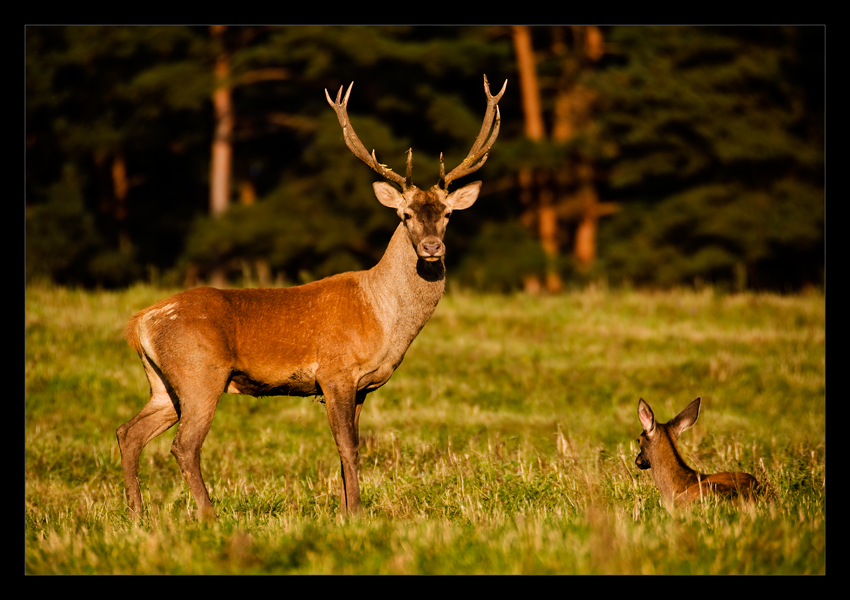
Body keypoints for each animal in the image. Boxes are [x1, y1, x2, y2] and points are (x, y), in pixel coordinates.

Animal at [116, 75, 506, 516]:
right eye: (405, 214)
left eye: (448, 214)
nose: (431, 248)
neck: (382, 316)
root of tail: (140, 322)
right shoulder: (336, 372)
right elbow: (349, 447)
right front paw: (357, 512)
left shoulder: (361, 385)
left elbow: (345, 448)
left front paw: (345, 508)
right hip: (200, 373)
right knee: (183, 446)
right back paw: (208, 515)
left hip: (163, 383)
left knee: (129, 432)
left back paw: (137, 513)